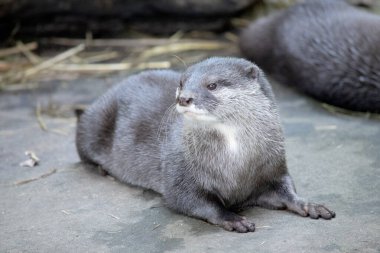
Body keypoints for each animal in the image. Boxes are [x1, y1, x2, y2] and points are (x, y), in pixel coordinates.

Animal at [75, 57, 336, 233]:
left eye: (213, 85)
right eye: (181, 83)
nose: (184, 98)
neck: (235, 162)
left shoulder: (273, 166)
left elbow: (286, 189)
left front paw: (310, 204)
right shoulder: (179, 174)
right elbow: (193, 201)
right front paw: (232, 218)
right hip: (93, 121)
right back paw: (102, 169)